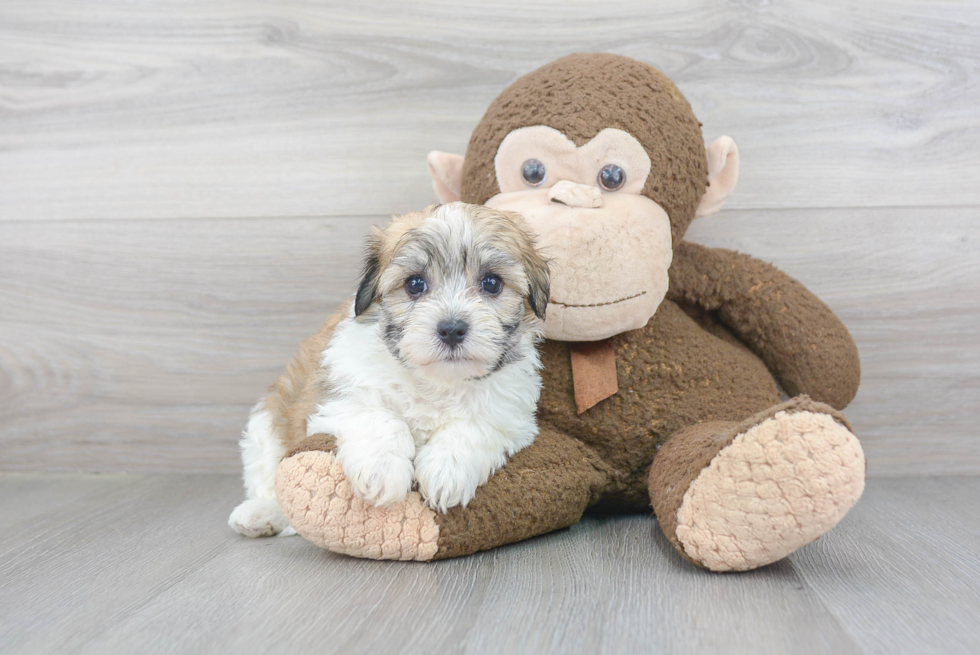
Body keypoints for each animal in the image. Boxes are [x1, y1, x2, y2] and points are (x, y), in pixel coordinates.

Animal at [231, 204, 552, 540]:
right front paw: (381, 469)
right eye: (415, 284)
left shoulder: (508, 412)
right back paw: (260, 512)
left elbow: (472, 426)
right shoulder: (338, 394)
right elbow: (380, 417)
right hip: (265, 424)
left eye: (491, 283)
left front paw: (447, 469)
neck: (437, 381)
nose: (451, 329)